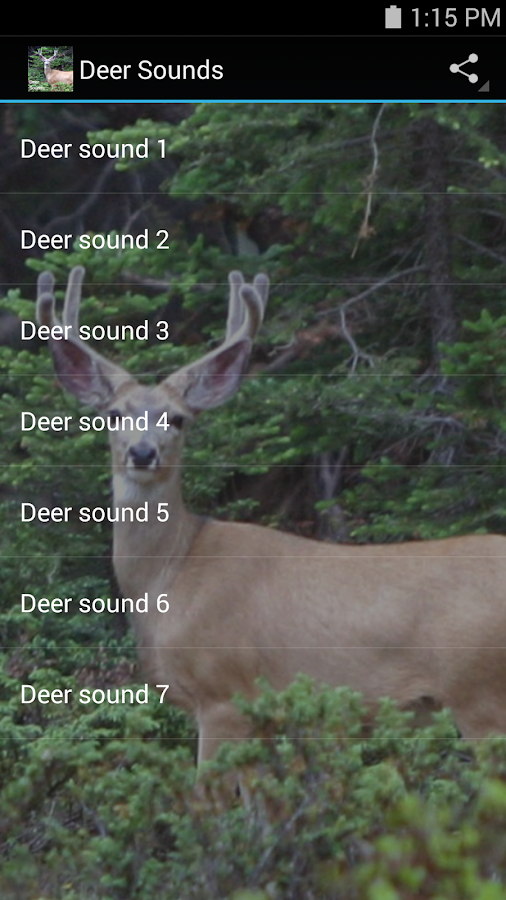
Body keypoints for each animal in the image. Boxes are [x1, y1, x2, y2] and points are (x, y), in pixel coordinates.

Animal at [36, 266, 506, 765]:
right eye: (113, 415)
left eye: (178, 419)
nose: (143, 453)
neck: (170, 575)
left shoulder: (224, 690)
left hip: (479, 690)